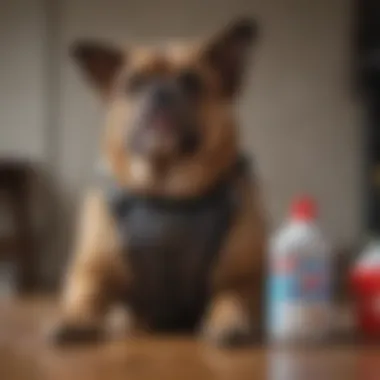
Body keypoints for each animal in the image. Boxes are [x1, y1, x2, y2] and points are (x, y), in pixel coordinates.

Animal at [52, 17, 268, 348]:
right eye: (133, 83)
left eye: (191, 81)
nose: (160, 93)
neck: (166, 194)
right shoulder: (93, 272)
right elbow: (85, 299)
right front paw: (74, 319)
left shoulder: (243, 278)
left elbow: (231, 298)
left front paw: (231, 321)